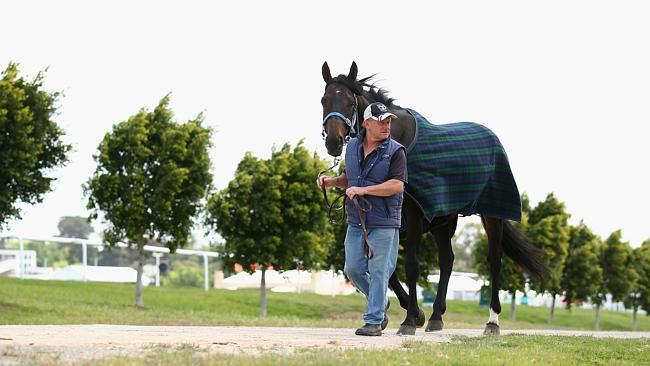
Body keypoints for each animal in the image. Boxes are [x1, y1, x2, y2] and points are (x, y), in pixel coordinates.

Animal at [318, 61, 548, 336]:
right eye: (323, 100)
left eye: (349, 103)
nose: (333, 142)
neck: (396, 137)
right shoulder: (393, 221)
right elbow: (386, 268)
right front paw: (409, 314)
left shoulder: (414, 216)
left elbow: (410, 265)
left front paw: (409, 320)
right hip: (444, 220)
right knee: (447, 261)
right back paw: (436, 316)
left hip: (491, 215)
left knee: (494, 261)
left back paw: (492, 321)